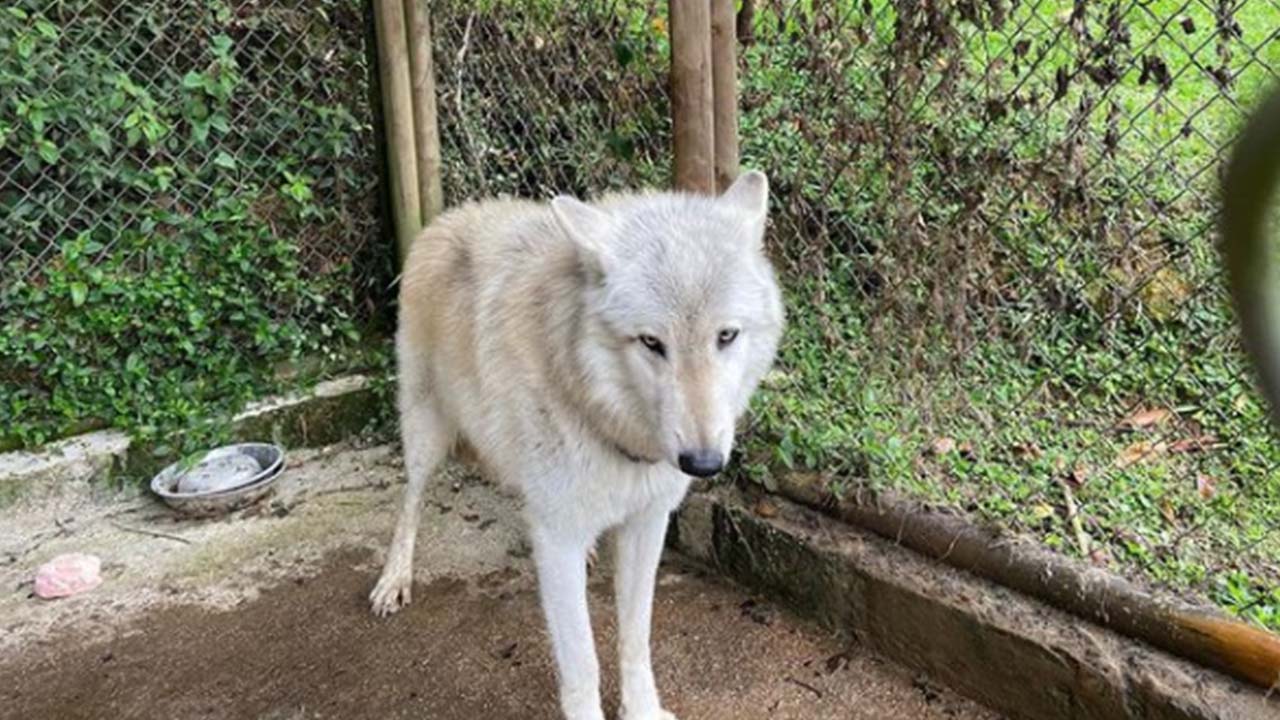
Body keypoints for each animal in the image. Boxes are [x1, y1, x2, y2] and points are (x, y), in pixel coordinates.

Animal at [370, 170, 785, 720]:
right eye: (651, 342)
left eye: (726, 336)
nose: (702, 463)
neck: (609, 420)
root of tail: (445, 219)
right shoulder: (559, 534)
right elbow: (583, 664)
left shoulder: (646, 521)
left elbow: (635, 637)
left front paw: (643, 710)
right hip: (425, 432)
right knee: (410, 503)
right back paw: (394, 580)